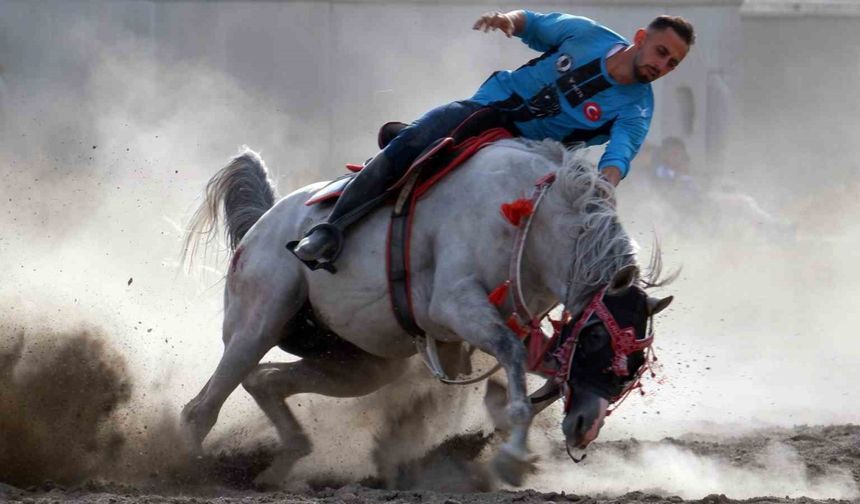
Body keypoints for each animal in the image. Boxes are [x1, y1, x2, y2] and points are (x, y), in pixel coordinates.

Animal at [180, 138, 672, 484]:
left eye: (636, 363)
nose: (585, 426)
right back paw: (183, 467)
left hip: (360, 363)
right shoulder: (456, 305)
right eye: (596, 338)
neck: (531, 219)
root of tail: (264, 224)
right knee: (201, 408)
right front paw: (512, 457)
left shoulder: (519, 326)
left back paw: (280, 466)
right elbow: (513, 360)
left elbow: (540, 371)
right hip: (256, 324)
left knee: (265, 381)